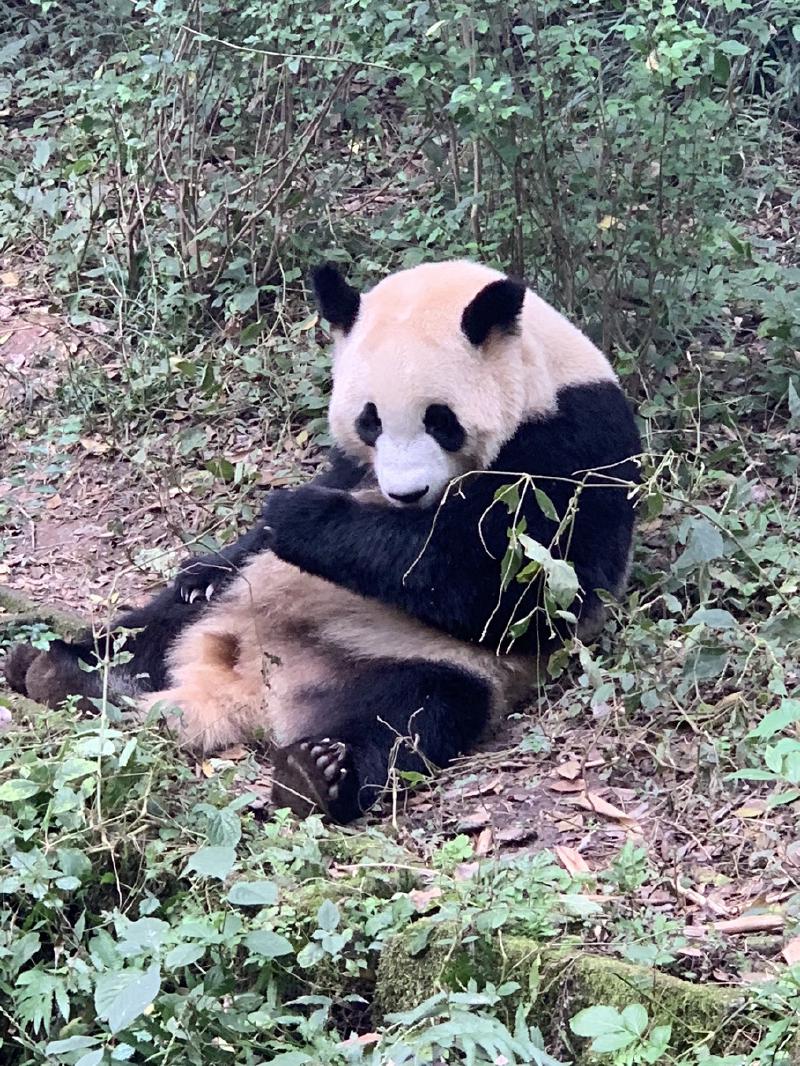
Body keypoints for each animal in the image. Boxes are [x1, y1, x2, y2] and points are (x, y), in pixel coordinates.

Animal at [3, 259, 641, 824]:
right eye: (370, 420)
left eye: (440, 419)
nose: (406, 493)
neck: (543, 377)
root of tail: (249, 696)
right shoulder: (356, 469)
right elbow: (278, 523)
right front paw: (204, 565)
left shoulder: (574, 444)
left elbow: (516, 592)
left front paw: (298, 516)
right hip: (234, 603)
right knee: (148, 630)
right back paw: (58, 668)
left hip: (427, 661)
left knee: (407, 716)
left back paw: (316, 774)